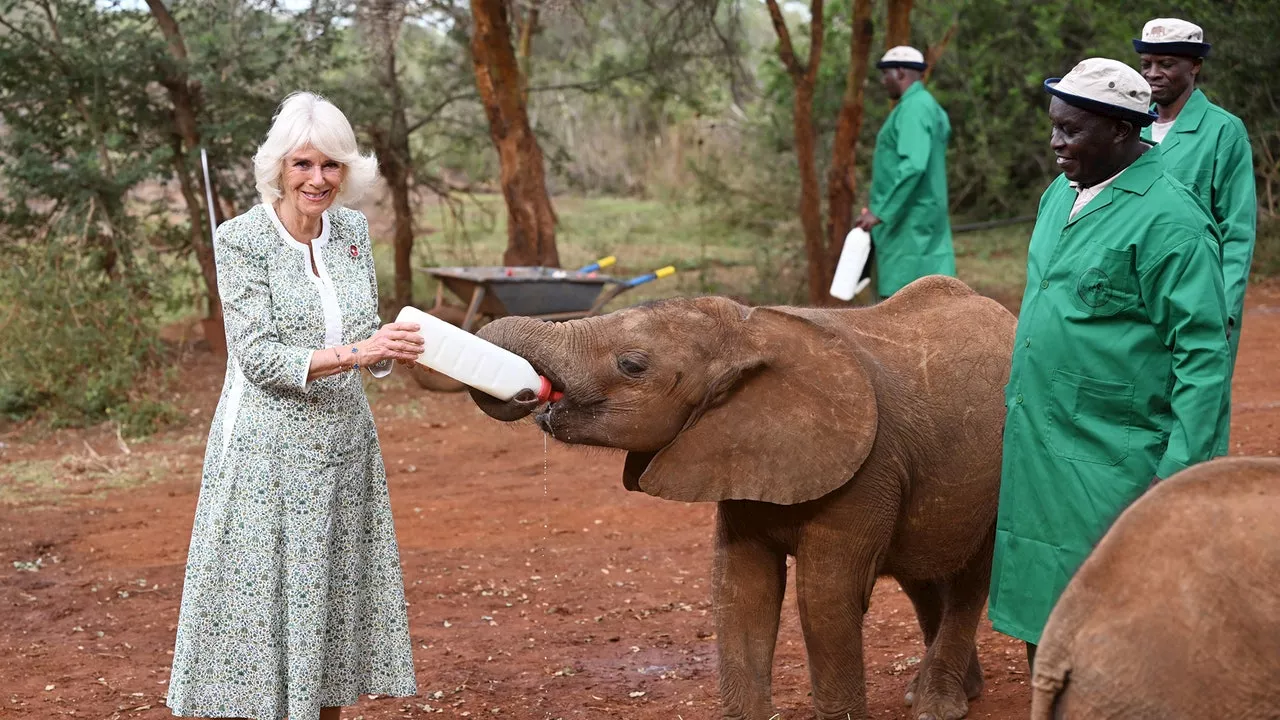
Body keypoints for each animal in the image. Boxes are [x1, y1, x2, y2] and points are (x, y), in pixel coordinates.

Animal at [465, 275, 1013, 717]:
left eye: (632, 365)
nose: (528, 392)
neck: (747, 333)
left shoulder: (868, 467)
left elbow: (825, 596)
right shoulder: (737, 452)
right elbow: (741, 587)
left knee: (972, 579)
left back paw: (936, 707)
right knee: (921, 575)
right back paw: (944, 693)